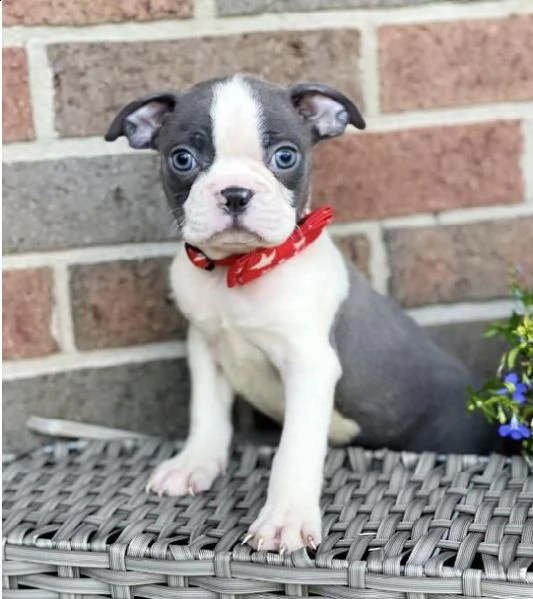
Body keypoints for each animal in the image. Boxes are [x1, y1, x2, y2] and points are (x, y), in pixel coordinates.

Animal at [106, 74, 492, 552]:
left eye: (285, 156)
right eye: (182, 159)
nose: (235, 193)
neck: (238, 270)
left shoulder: (309, 366)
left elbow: (294, 449)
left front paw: (284, 519)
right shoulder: (206, 347)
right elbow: (207, 414)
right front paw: (193, 463)